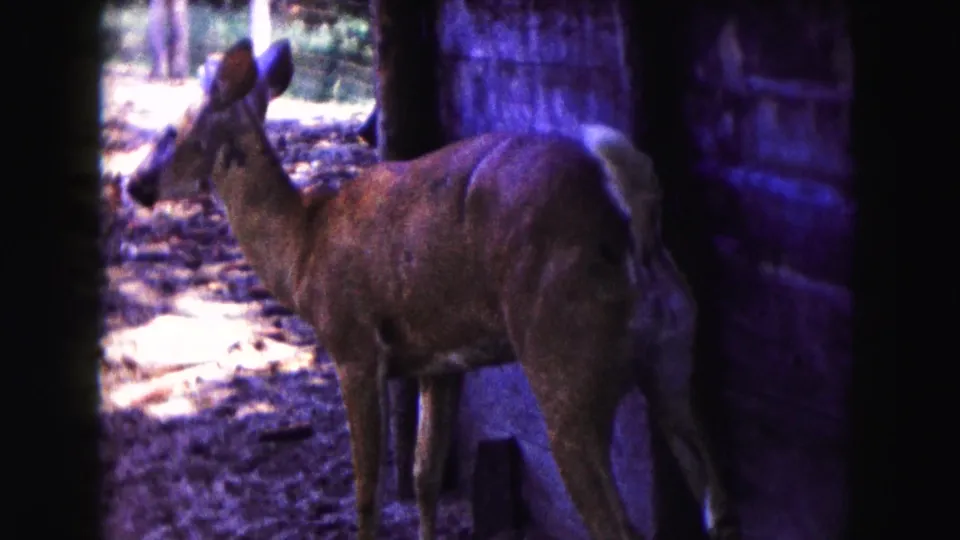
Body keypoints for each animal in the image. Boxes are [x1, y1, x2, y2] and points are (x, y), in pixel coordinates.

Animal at [125, 38, 741, 540]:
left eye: (170, 131)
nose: (133, 185)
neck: (303, 251)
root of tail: (635, 229)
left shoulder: (352, 343)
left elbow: (368, 492)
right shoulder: (439, 361)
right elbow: (423, 477)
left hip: (564, 362)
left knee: (620, 525)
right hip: (671, 358)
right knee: (720, 507)